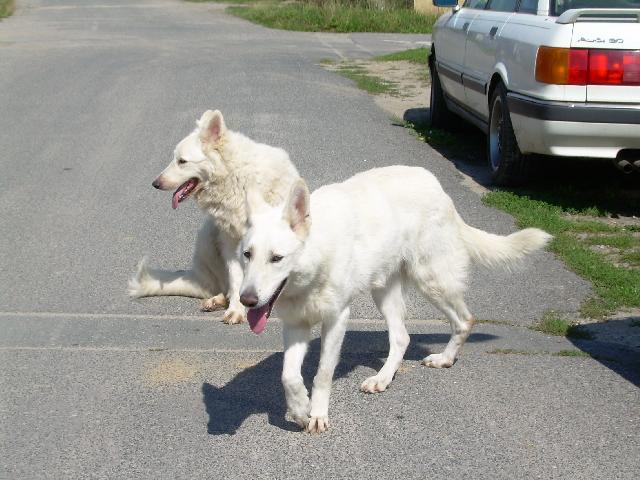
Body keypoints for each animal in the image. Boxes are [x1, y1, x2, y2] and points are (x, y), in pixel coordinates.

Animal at [130, 110, 302, 324]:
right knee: (222, 287)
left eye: (182, 161)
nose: (155, 183)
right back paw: (218, 300)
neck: (236, 178)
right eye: (175, 159)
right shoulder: (231, 243)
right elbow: (237, 280)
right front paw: (236, 310)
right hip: (208, 237)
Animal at [238, 167, 552, 434]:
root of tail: (436, 186)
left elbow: (323, 374)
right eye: (247, 255)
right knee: (402, 338)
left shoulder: (337, 320)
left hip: (431, 281)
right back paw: (383, 378)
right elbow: (289, 377)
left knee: (464, 320)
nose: (246, 300)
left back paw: (445, 359)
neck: (317, 259)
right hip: (384, 293)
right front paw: (301, 409)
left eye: (276, 258)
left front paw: (317, 413)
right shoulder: (296, 326)